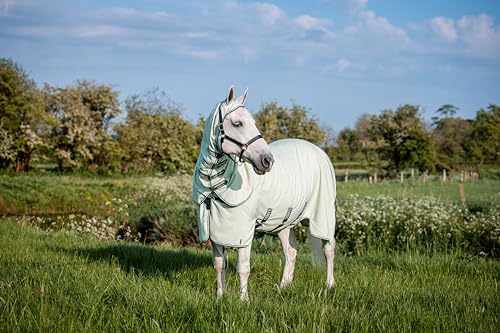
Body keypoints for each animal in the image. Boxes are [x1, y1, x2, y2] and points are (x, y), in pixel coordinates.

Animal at [191, 86, 336, 300]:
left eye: (253, 122)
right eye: (237, 123)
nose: (267, 161)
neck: (214, 185)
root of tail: (319, 152)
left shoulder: (244, 232)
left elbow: (243, 267)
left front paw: (243, 300)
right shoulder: (215, 231)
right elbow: (219, 265)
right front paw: (219, 297)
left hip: (323, 216)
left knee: (328, 248)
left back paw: (329, 285)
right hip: (284, 222)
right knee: (291, 252)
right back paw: (283, 287)